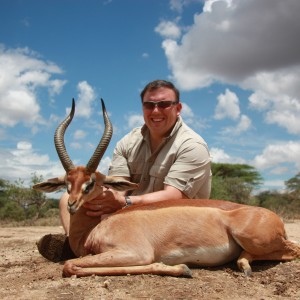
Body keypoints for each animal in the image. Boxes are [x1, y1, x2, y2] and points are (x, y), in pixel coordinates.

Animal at [34, 99, 300, 278]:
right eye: (67, 183)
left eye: (91, 183)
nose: (72, 204)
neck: (95, 227)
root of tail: (272, 217)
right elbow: (73, 263)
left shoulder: (135, 252)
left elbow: (71, 265)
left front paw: (182, 268)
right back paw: (243, 265)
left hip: (254, 238)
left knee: (294, 250)